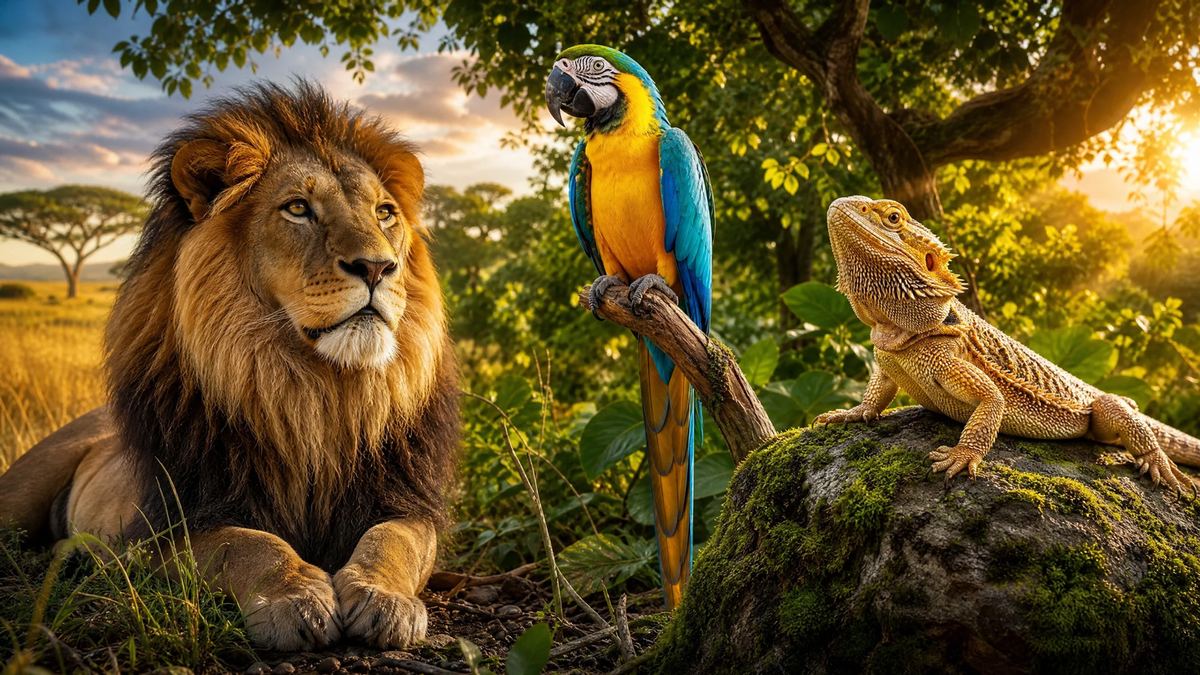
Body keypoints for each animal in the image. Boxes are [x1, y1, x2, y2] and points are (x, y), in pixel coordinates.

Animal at [0, 82, 459, 651]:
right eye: (298, 208)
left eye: (384, 212)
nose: (377, 267)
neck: (314, 392)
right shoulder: (166, 528)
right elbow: (246, 543)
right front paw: (294, 598)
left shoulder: (402, 500)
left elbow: (392, 540)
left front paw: (384, 599)